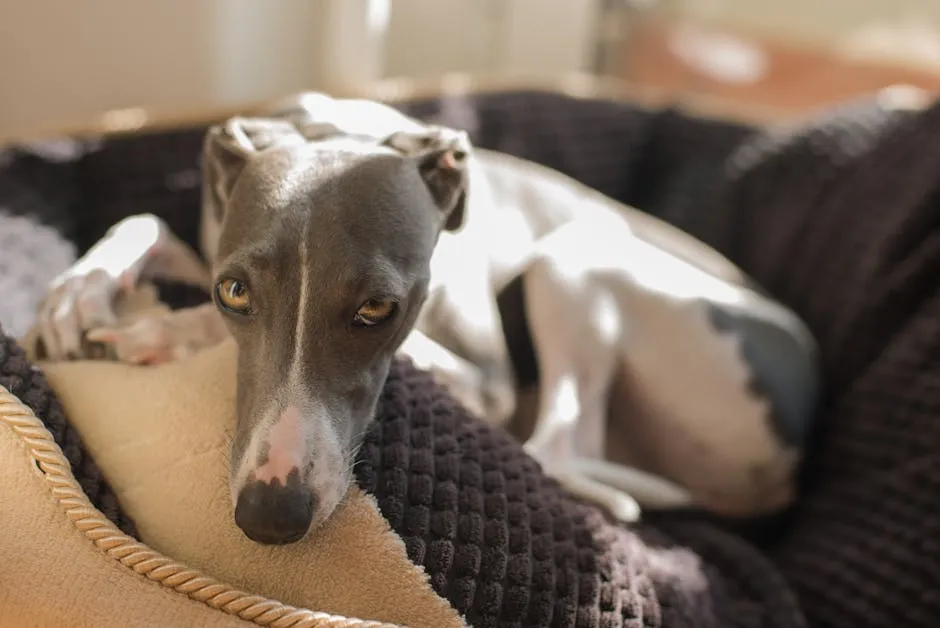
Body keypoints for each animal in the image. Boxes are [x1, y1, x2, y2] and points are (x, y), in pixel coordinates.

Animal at [31, 91, 816, 544]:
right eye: (235, 292)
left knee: (553, 445)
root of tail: (789, 461)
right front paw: (78, 291)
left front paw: (163, 332)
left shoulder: (486, 380)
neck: (335, 131)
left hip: (574, 258)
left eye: (379, 308)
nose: (270, 517)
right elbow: (149, 220)